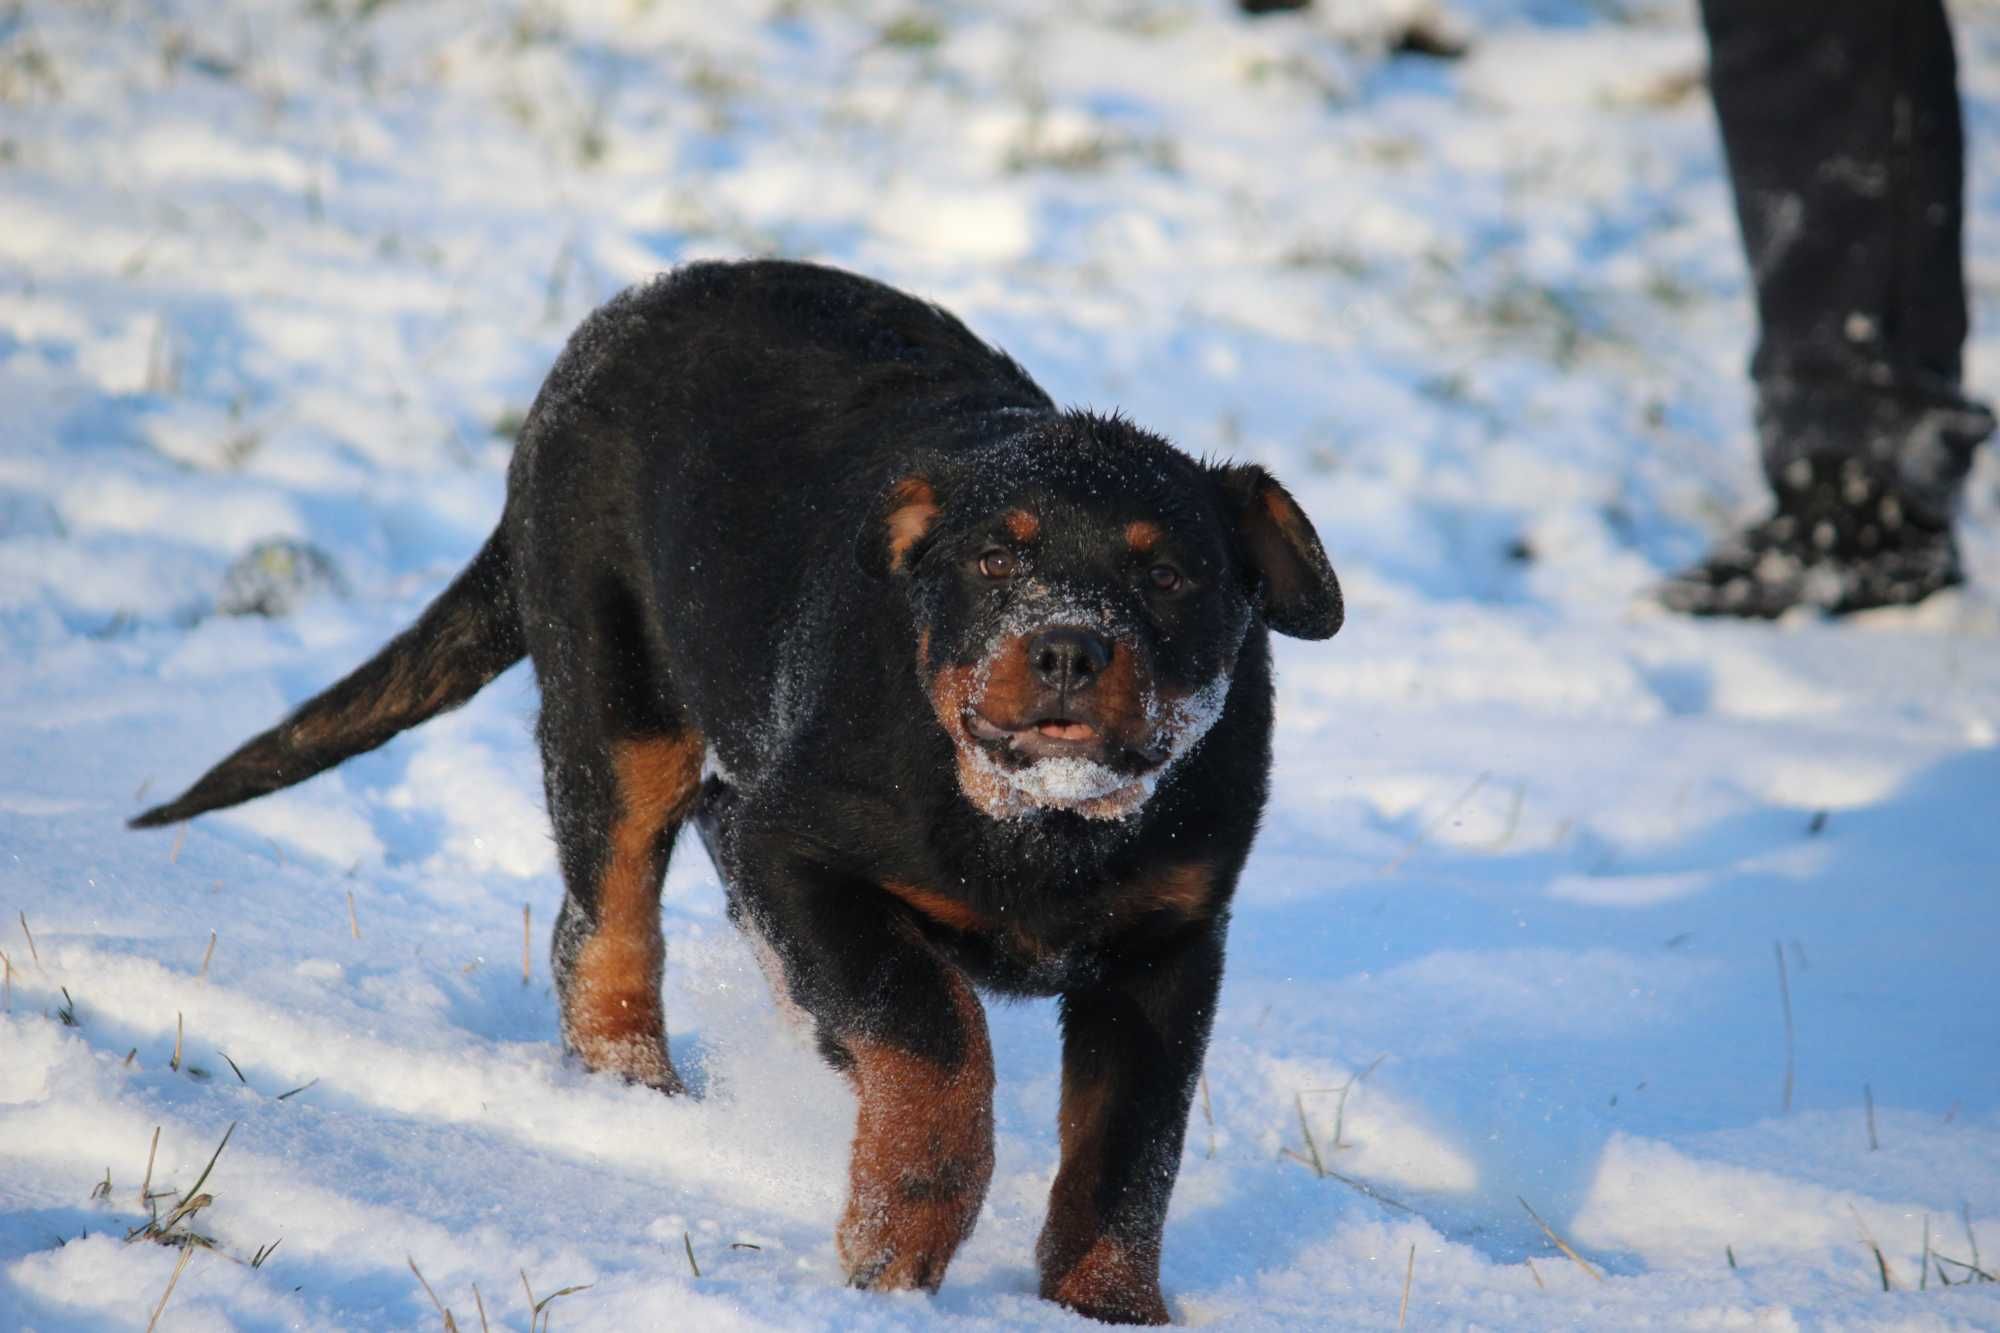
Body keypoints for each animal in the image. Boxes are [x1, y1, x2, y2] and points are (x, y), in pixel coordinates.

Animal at [129, 260, 1344, 1320]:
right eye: (998, 560)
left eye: (1169, 573)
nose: (1067, 648)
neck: (1036, 822)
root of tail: (617, 319)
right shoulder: (785, 844)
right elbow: (934, 1030)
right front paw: (900, 1236)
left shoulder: (1168, 947)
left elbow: (1127, 1154)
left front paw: (1107, 1308)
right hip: (620, 709)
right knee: (605, 926)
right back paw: (640, 1101)